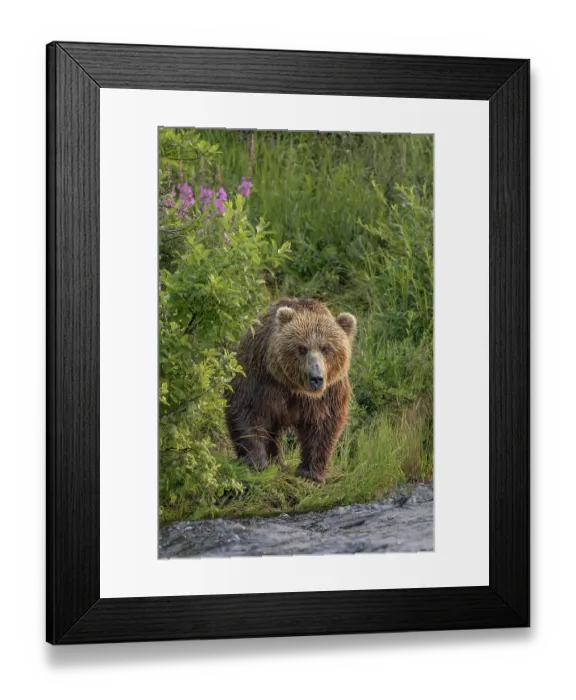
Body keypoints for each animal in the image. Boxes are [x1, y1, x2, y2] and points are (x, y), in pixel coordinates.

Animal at [225, 297, 357, 483]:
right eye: (302, 348)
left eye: (326, 348)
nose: (316, 378)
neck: (295, 388)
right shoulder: (261, 379)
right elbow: (247, 411)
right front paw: (258, 463)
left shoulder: (328, 394)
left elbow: (323, 425)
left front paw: (310, 474)